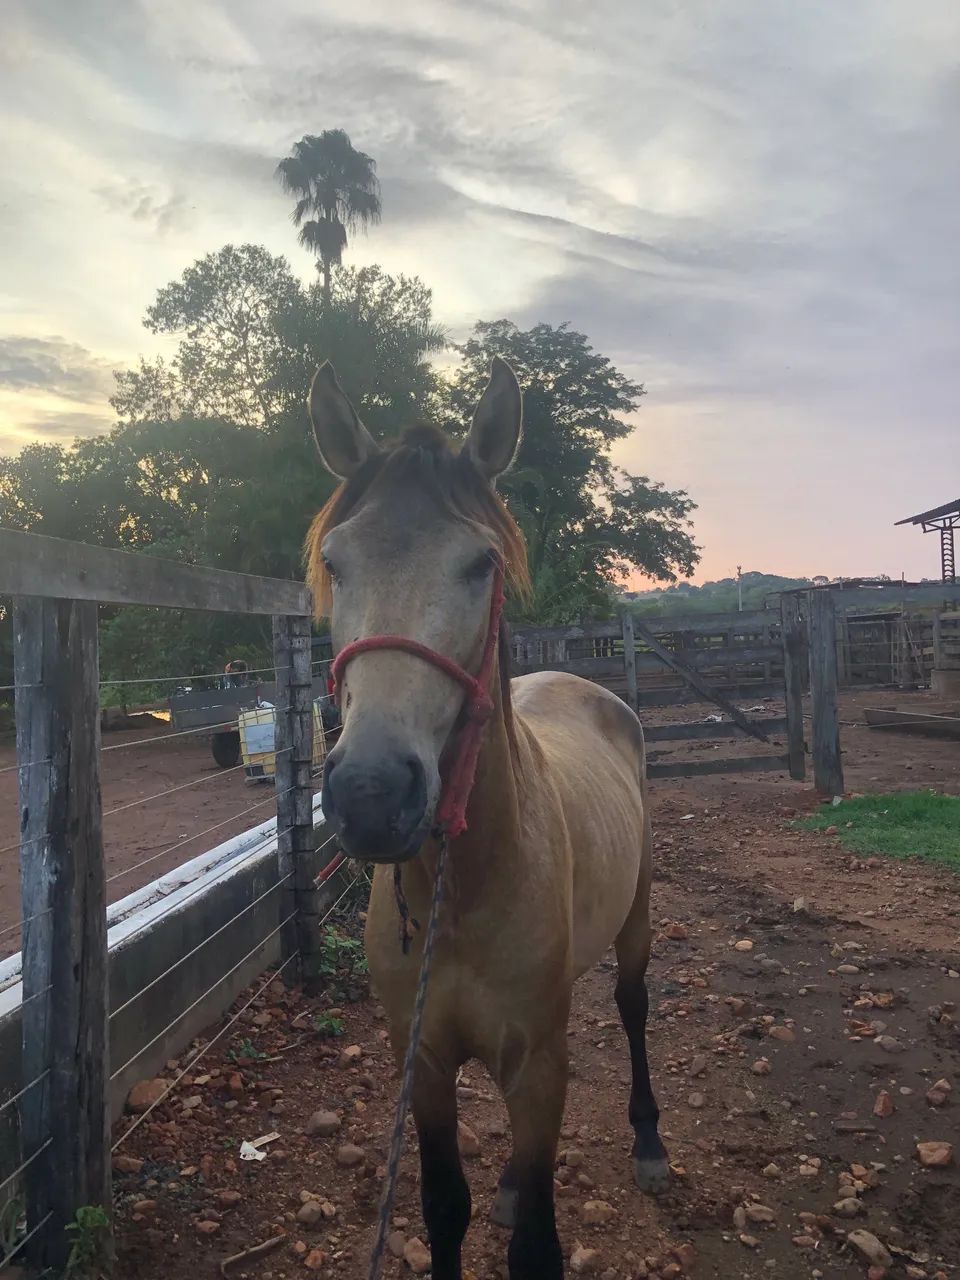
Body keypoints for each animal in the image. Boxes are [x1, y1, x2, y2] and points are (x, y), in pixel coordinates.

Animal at [304, 357, 668, 1279]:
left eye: (481, 563)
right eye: (335, 561)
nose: (370, 791)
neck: (461, 892)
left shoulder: (539, 1064)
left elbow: (537, 1245)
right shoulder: (425, 1065)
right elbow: (444, 1210)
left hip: (637, 922)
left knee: (634, 1005)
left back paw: (650, 1142)